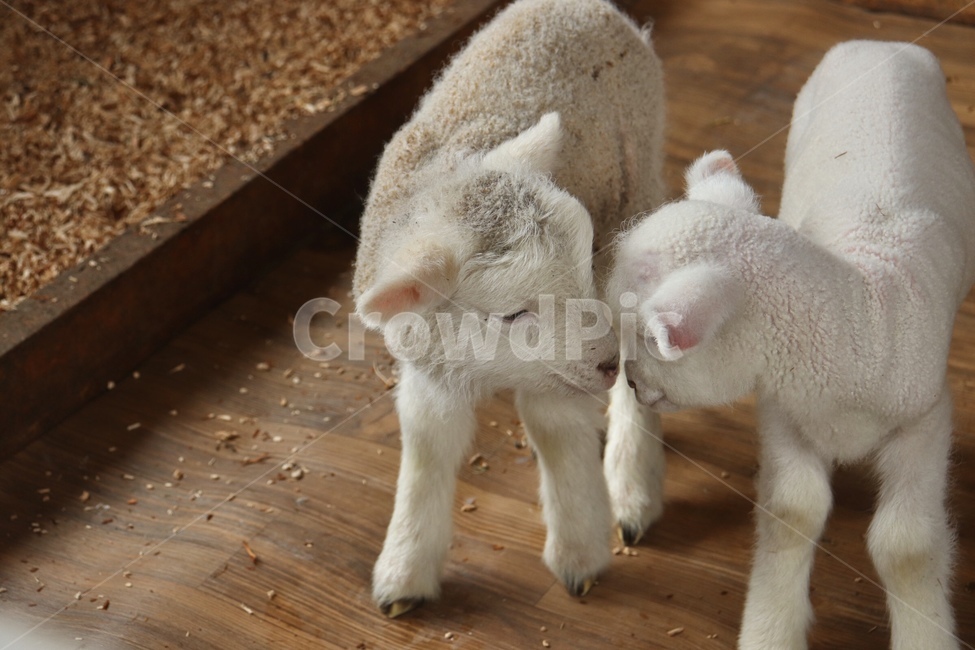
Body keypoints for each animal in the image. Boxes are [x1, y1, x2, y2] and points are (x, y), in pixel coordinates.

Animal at [352, 0, 666, 617]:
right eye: (513, 315)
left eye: (581, 262)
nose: (606, 363)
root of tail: (586, 7)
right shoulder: (431, 366)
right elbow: (426, 445)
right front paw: (404, 571)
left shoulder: (558, 374)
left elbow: (554, 431)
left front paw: (578, 554)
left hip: (635, 189)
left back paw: (631, 485)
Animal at [609, 40, 975, 649]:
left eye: (647, 340)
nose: (633, 384)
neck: (861, 319)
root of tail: (878, 44)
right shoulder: (783, 412)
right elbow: (793, 511)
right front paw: (771, 627)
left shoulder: (926, 421)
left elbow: (906, 546)